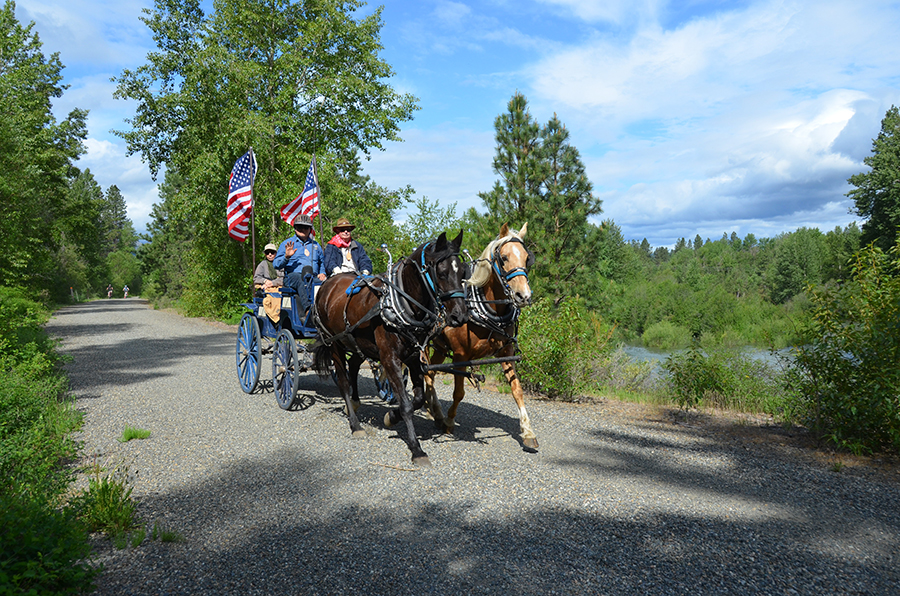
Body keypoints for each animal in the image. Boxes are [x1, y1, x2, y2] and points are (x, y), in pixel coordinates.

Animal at [312, 230, 468, 468]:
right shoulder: (390, 359)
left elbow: (417, 399)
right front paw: (416, 449)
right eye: (441, 273)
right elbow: (405, 404)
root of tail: (327, 285)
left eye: (463, 272)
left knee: (354, 365)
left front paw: (391, 418)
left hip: (358, 342)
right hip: (334, 344)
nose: (459, 316)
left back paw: (355, 403)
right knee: (343, 381)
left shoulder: (414, 358)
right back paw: (355, 425)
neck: (399, 304)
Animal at [420, 222, 536, 448]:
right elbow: (459, 392)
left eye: (527, 258)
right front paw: (449, 422)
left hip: (439, 347)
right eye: (504, 257)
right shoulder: (460, 356)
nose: (523, 296)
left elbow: (517, 390)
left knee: (429, 373)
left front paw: (528, 432)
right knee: (422, 372)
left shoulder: (506, 353)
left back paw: (432, 408)